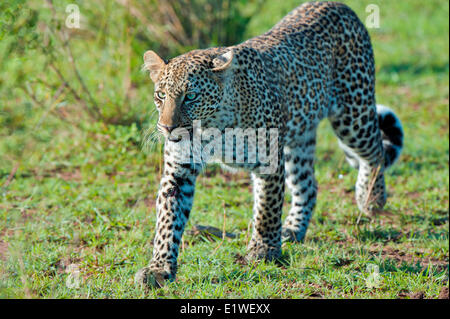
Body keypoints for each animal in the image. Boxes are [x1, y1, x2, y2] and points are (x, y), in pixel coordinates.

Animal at [134, 0, 404, 290]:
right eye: (161, 95)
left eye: (191, 96)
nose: (167, 128)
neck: (212, 126)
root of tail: (339, 6)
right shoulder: (178, 172)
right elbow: (168, 220)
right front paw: (159, 268)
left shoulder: (269, 160)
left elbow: (267, 208)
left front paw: (264, 250)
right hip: (300, 138)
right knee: (308, 184)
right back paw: (293, 229)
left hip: (353, 115)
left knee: (375, 152)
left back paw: (371, 198)